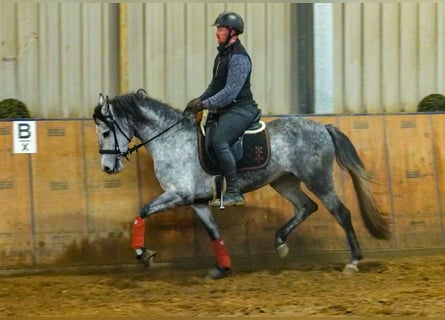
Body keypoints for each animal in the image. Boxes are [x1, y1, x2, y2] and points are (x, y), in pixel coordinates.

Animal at [93, 90, 388, 280]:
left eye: (106, 132)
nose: (107, 168)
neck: (171, 139)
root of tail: (323, 127)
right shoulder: (197, 202)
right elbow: (214, 233)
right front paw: (222, 268)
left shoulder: (178, 194)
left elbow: (142, 211)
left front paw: (143, 254)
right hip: (284, 181)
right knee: (306, 207)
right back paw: (280, 244)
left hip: (318, 179)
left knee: (341, 213)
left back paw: (353, 262)